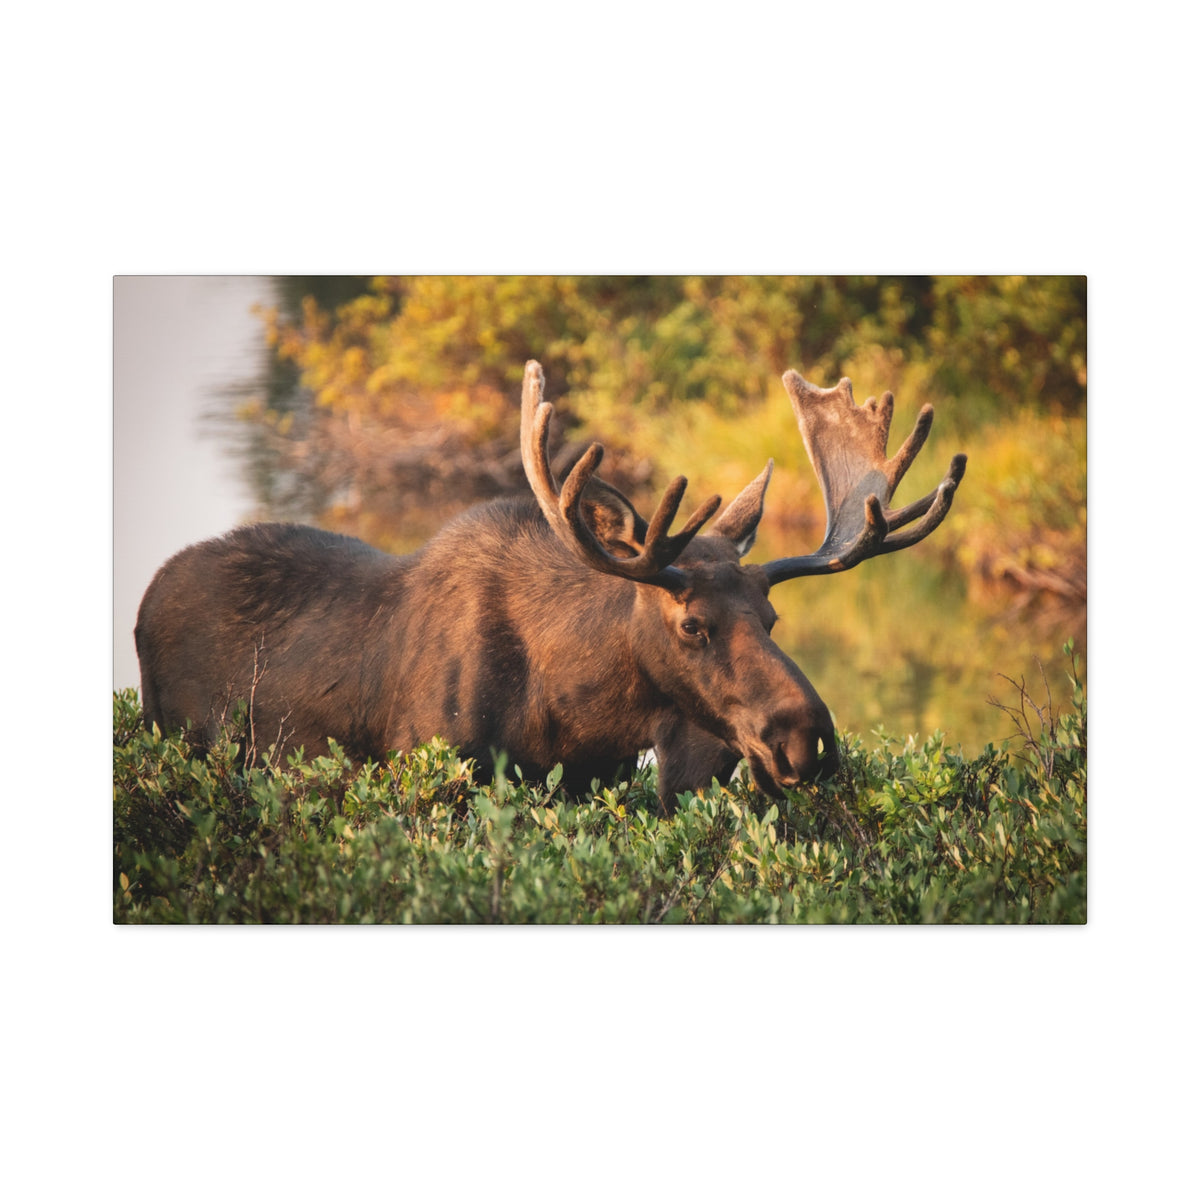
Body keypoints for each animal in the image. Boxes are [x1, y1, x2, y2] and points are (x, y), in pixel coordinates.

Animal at [134, 361, 966, 812]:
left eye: (772, 617)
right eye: (691, 624)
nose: (806, 739)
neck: (576, 714)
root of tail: (147, 599)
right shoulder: (433, 773)